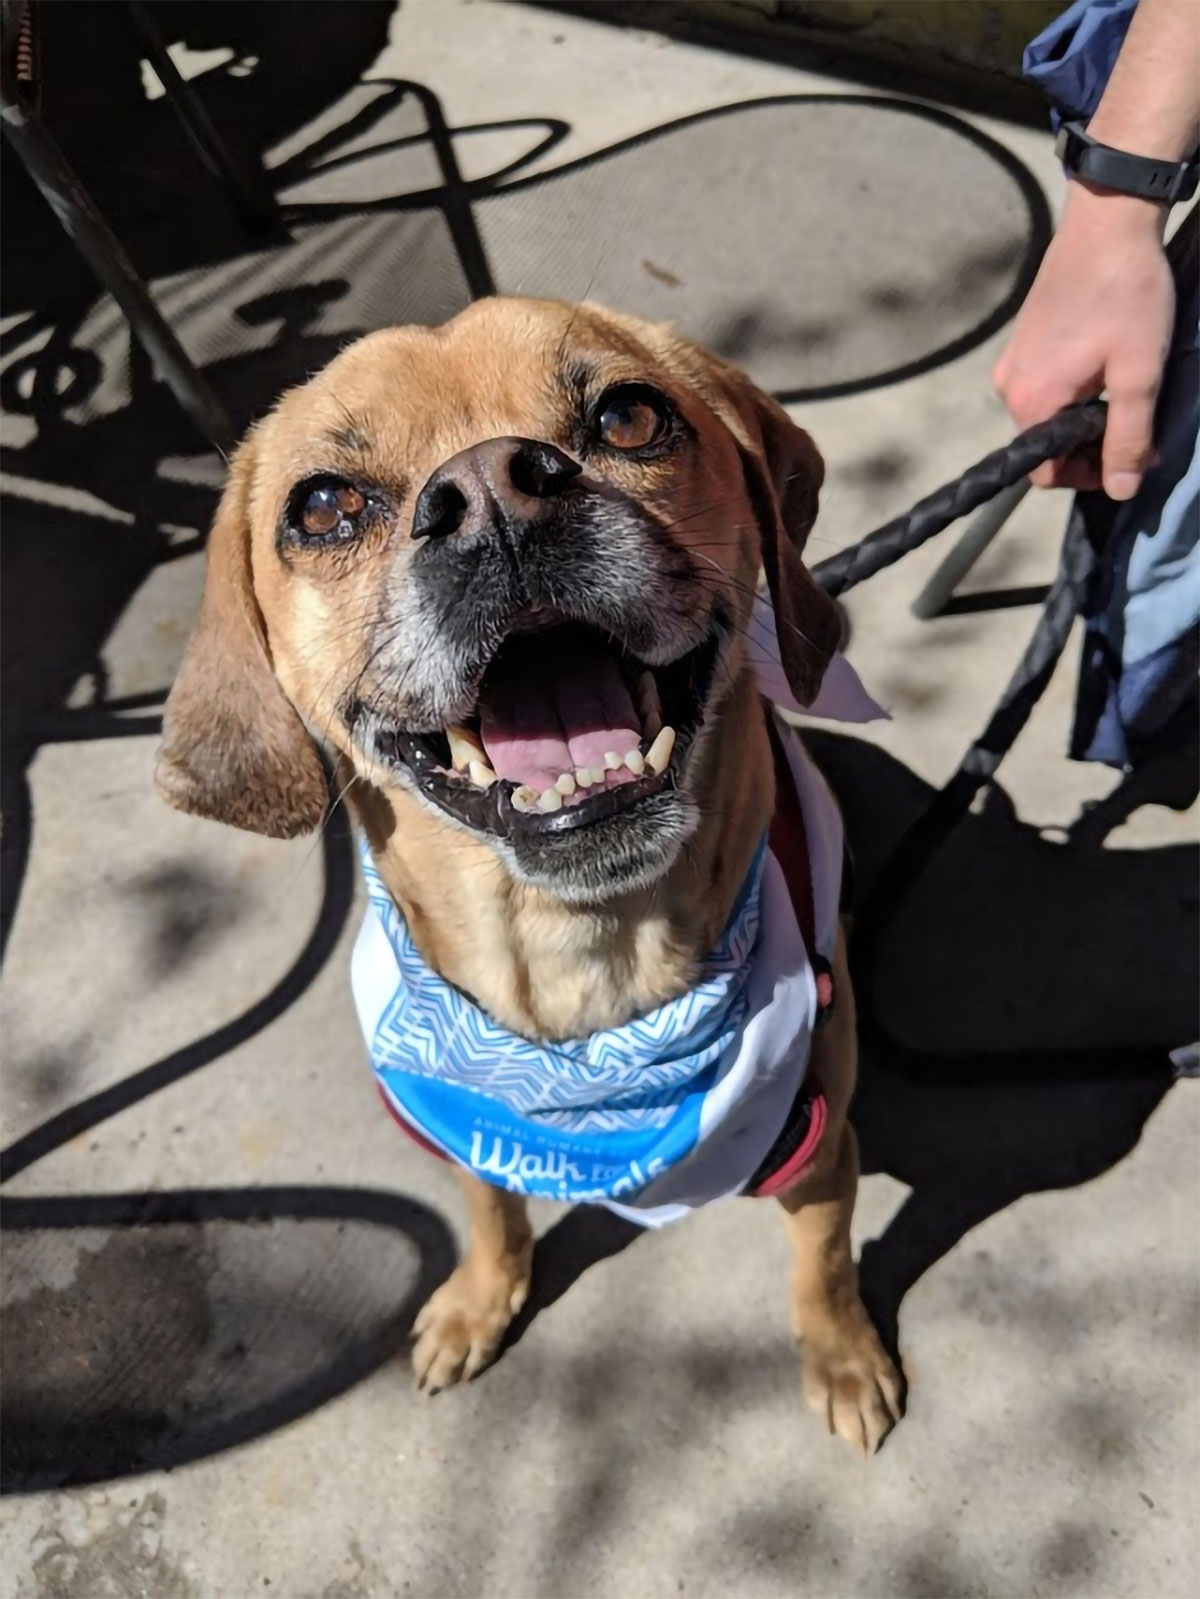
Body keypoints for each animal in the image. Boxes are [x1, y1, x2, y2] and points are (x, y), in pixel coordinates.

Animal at [160, 297, 908, 1451]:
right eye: (323, 507)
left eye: (631, 415)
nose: (491, 492)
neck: (579, 959)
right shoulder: (465, 1132)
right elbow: (488, 1207)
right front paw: (481, 1300)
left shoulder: (824, 1152)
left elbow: (821, 1267)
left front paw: (843, 1360)